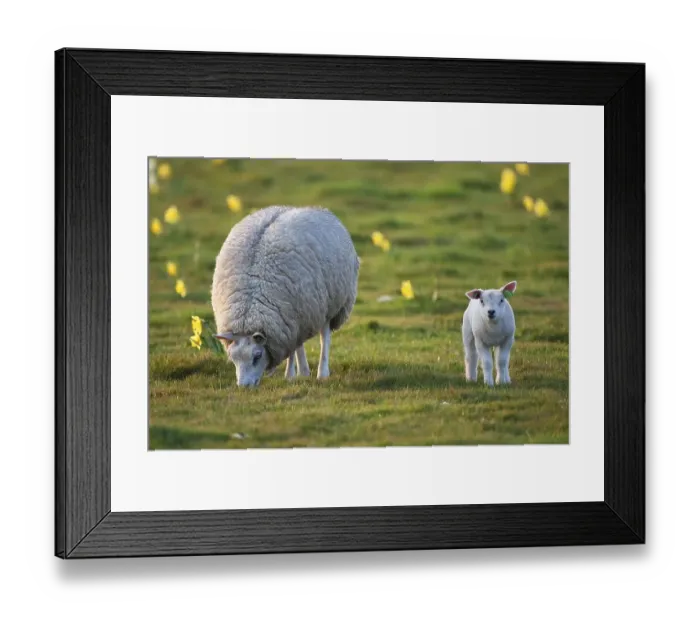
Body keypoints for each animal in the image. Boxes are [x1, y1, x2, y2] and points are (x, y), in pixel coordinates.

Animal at [211, 205, 360, 387]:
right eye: (233, 358)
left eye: (257, 356)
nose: (243, 386)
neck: (249, 308)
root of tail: (318, 209)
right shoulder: (287, 321)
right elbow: (293, 348)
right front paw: (294, 374)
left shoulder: (286, 321)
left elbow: (294, 349)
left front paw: (290, 374)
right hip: (302, 316)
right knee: (299, 344)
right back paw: (304, 371)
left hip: (329, 304)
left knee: (324, 337)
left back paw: (322, 373)